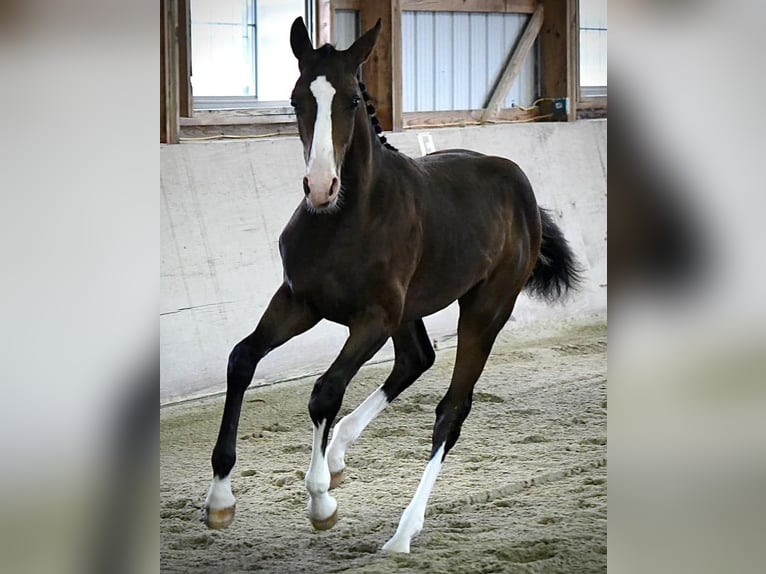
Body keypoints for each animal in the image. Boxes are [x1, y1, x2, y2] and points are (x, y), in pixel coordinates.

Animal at [204, 18, 584, 556]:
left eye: (352, 101)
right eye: (297, 99)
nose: (320, 186)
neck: (346, 217)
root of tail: (521, 187)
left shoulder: (373, 319)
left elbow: (325, 391)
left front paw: (321, 503)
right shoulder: (299, 302)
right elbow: (241, 360)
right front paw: (219, 502)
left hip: (485, 309)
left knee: (451, 409)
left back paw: (403, 532)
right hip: (409, 311)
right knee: (416, 358)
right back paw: (340, 455)